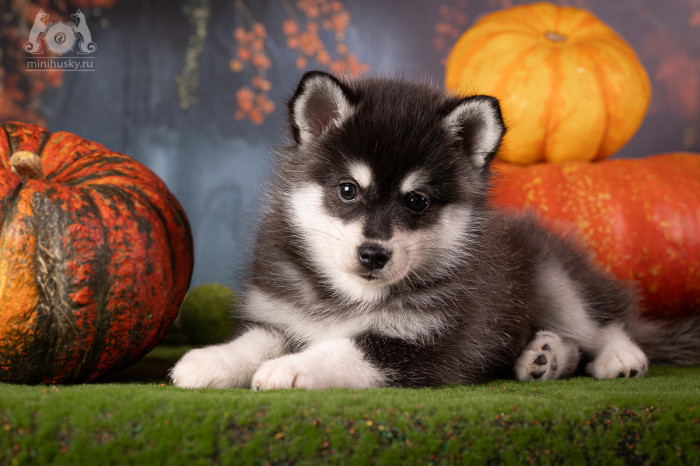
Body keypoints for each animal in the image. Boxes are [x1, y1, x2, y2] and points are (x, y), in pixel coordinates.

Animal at [171, 70, 700, 390]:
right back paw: (545, 356)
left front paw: (288, 367)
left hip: (555, 277)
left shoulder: (428, 342)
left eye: (417, 201)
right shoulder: (281, 313)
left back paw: (618, 357)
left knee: (606, 321)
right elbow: (259, 338)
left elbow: (343, 348)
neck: (352, 298)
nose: (373, 254)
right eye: (347, 190)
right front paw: (210, 360)